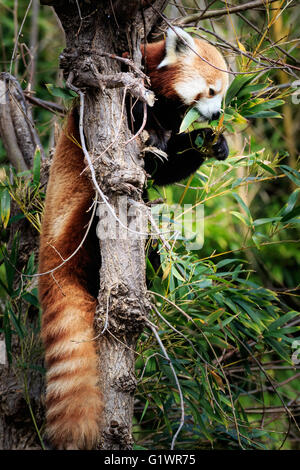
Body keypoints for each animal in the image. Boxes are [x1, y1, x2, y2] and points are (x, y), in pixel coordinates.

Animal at [38, 27, 229, 450]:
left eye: (223, 92)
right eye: (210, 90)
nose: (218, 114)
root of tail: (49, 261)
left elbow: (166, 164)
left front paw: (212, 142)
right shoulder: (119, 98)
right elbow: (136, 128)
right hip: (76, 221)